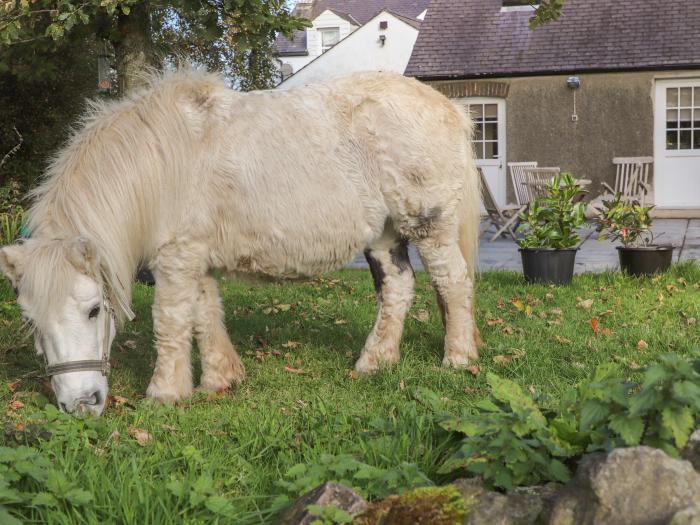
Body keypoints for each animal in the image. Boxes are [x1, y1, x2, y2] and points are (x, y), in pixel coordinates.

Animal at [0, 69, 482, 416]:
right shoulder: (195, 257)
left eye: (93, 310)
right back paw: (375, 362)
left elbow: (170, 321)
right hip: (384, 233)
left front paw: (166, 393)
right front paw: (220, 379)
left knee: (453, 283)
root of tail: (451, 109)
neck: (158, 164)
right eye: (30, 320)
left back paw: (458, 358)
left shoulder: (175, 259)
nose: (80, 405)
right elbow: (205, 313)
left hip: (429, 225)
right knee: (398, 289)